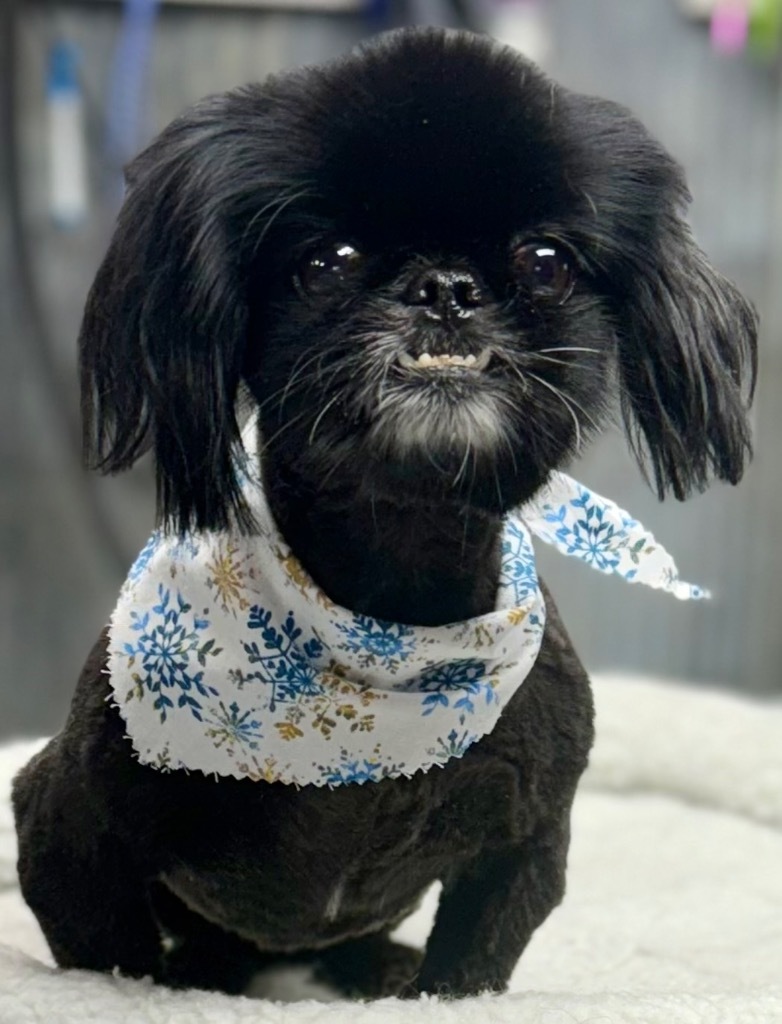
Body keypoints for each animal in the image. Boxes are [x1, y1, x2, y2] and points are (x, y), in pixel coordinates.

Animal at [12, 25, 757, 999]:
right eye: (326, 261)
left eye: (546, 262)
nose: (446, 286)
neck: (391, 607)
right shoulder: (62, 820)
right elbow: (110, 959)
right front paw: (160, 987)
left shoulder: (528, 840)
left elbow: (472, 964)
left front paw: (430, 983)